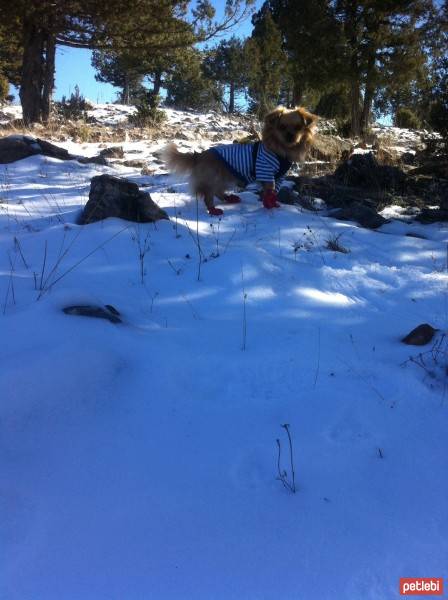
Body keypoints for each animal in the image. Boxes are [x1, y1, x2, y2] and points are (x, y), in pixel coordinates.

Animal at [164, 106, 318, 217]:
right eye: (282, 127)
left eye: (298, 127)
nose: (290, 135)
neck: (281, 150)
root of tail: (200, 155)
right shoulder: (266, 172)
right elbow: (269, 191)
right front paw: (269, 205)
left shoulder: (279, 177)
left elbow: (274, 192)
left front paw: (273, 203)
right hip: (214, 177)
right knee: (209, 195)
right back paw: (213, 210)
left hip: (225, 178)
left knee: (217, 191)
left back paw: (229, 199)